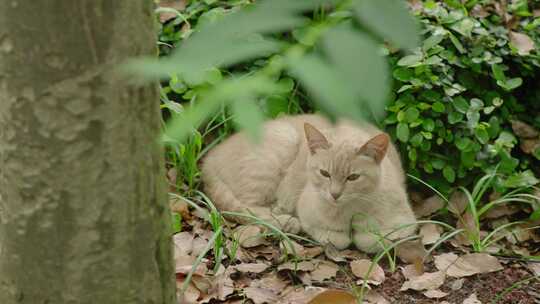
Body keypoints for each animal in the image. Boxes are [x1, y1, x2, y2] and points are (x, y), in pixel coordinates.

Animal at [202, 114, 418, 252]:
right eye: (325, 173)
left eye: (353, 177)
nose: (335, 194)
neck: (349, 210)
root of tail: (209, 157)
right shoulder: (308, 215)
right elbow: (339, 239)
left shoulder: (406, 222)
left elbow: (372, 240)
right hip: (283, 141)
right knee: (244, 208)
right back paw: (285, 220)